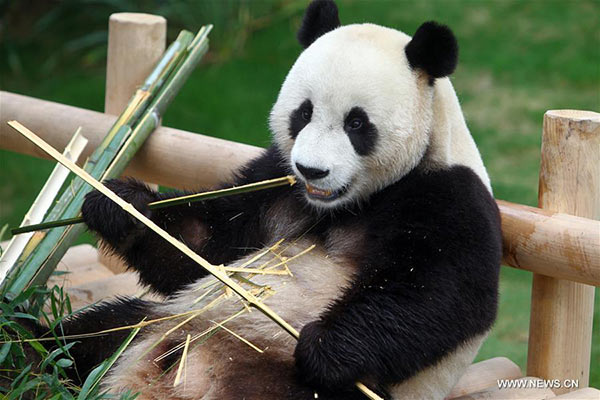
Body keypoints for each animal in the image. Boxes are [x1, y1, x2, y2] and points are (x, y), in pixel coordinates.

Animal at [30, 1, 504, 398]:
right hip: (155, 323)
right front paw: (120, 205)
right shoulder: (276, 180)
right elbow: (205, 250)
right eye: (304, 112)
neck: (343, 205)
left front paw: (327, 348)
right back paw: (31, 358)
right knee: (86, 336)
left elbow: (436, 292)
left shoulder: (447, 194)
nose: (312, 170)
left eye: (356, 123)